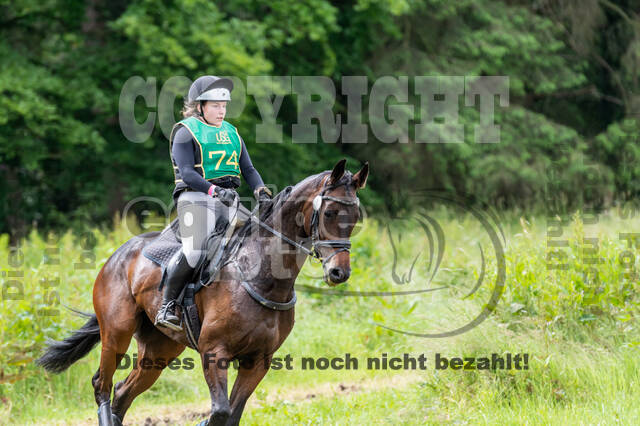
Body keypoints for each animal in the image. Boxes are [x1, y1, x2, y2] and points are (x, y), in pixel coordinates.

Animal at [36, 158, 368, 426]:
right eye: (330, 212)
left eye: (355, 217)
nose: (339, 273)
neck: (262, 276)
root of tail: (117, 256)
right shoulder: (214, 352)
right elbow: (219, 412)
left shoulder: (258, 360)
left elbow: (231, 415)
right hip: (117, 332)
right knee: (102, 386)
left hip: (159, 350)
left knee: (122, 393)